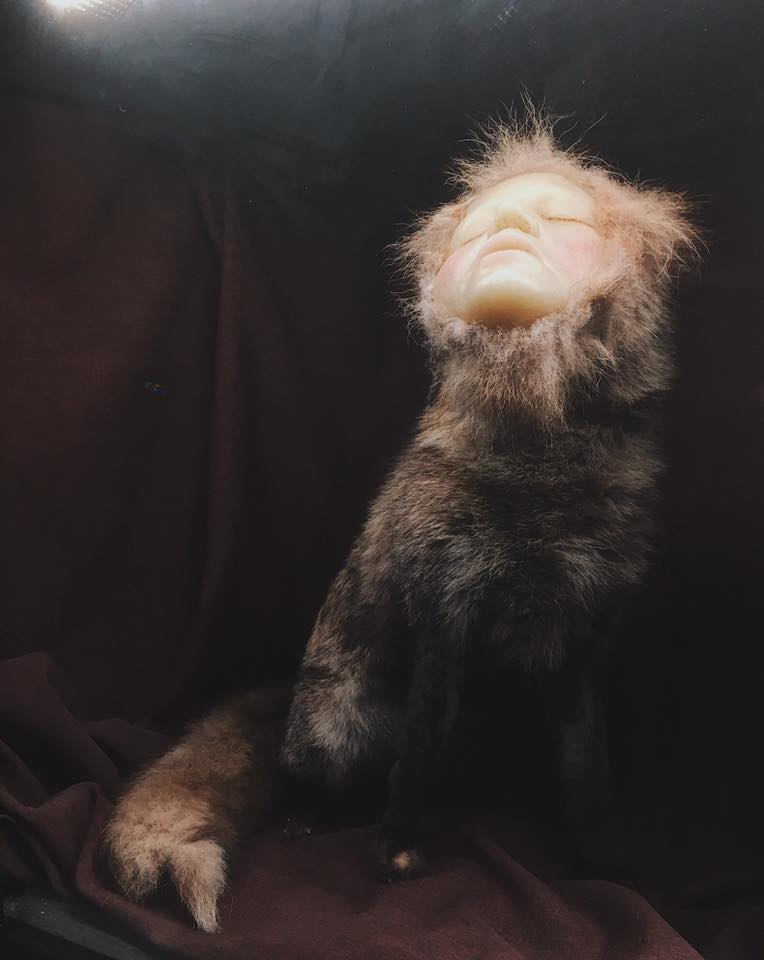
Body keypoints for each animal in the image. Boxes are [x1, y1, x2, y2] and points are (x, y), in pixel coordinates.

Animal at [103, 118, 697, 932]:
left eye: (561, 219)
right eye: (479, 229)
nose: (509, 227)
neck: (539, 496)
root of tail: (289, 695)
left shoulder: (585, 647)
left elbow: (589, 778)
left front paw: (602, 863)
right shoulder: (442, 624)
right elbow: (414, 765)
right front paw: (397, 852)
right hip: (338, 726)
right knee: (326, 777)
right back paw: (311, 816)